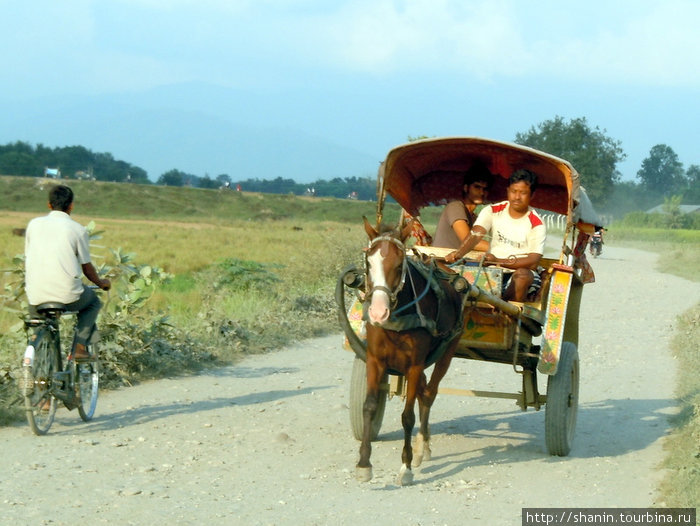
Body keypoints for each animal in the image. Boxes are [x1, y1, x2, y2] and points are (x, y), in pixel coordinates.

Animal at [360, 219, 464, 486]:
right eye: (368, 263)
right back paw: (422, 446)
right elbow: (369, 406)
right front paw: (363, 463)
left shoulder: (415, 364)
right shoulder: (374, 360)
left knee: (429, 393)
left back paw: (420, 448)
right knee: (423, 392)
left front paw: (405, 467)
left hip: (447, 350)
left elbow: (407, 416)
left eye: (399, 265)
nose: (378, 313)